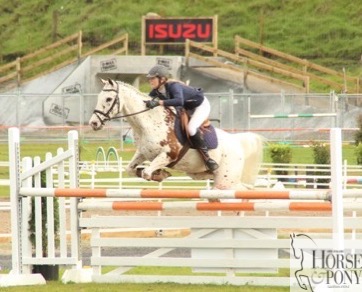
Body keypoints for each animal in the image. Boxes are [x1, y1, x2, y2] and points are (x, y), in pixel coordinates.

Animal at [87, 78, 264, 190]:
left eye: (109, 99)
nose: (94, 123)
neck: (149, 122)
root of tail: (237, 142)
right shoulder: (143, 153)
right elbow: (131, 170)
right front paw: (161, 174)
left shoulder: (168, 154)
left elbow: (146, 172)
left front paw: (159, 173)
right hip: (206, 176)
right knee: (245, 189)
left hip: (226, 181)